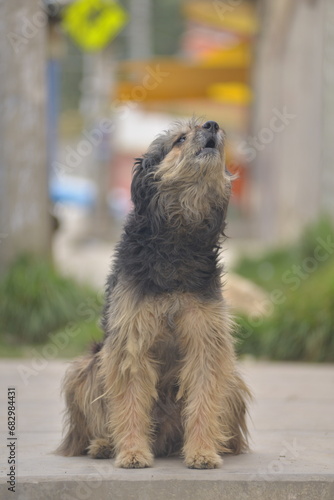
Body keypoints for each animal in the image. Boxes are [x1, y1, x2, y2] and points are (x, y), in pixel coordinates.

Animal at [56, 118, 250, 468]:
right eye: (180, 139)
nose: (213, 124)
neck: (178, 239)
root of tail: (165, 441)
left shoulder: (206, 340)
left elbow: (203, 399)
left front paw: (202, 451)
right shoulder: (132, 341)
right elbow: (130, 402)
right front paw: (132, 452)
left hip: (232, 380)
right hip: (87, 367)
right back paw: (104, 444)